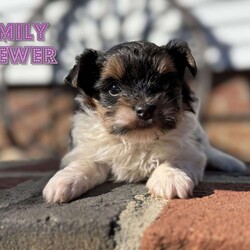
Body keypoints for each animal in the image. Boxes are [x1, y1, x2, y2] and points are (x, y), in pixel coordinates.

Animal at [43, 39, 246, 203]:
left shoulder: (190, 152)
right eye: (114, 89)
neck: (138, 138)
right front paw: (64, 180)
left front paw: (170, 177)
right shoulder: (91, 149)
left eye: (164, 83)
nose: (145, 109)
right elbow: (88, 161)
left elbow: (177, 159)